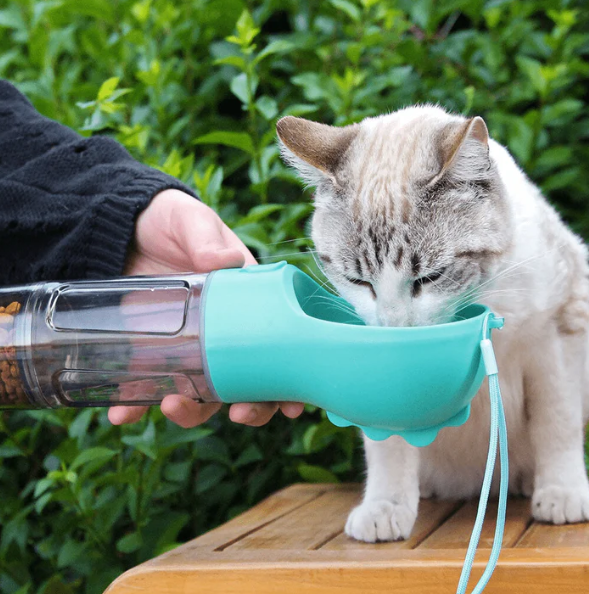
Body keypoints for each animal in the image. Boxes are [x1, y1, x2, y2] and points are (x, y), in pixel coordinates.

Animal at [276, 106, 588, 540]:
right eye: (359, 281)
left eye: (429, 277)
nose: (395, 329)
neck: (478, 302)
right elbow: (389, 443)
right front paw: (386, 506)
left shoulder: (556, 333)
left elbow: (557, 422)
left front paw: (562, 492)